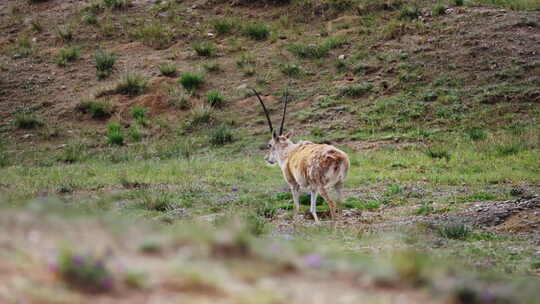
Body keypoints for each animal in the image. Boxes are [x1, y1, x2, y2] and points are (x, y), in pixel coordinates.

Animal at [252, 88, 350, 223]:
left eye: (269, 145)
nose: (267, 159)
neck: (289, 152)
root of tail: (339, 158)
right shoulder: (313, 188)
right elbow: (312, 209)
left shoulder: (294, 184)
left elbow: (296, 206)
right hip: (338, 184)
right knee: (340, 204)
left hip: (322, 186)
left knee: (332, 203)